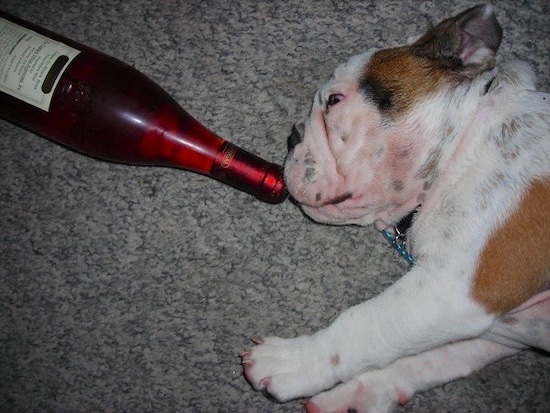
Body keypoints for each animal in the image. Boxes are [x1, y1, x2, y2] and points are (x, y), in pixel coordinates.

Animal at [244, 4, 548, 412]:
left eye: (334, 101)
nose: (292, 136)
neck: (462, 144)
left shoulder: (454, 288)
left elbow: (364, 325)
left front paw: (294, 360)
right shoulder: (500, 329)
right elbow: (427, 359)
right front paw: (363, 391)